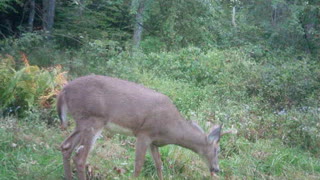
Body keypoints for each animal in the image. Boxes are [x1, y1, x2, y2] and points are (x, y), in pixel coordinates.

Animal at [56, 75, 234, 180]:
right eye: (217, 150)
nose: (217, 169)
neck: (171, 129)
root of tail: (63, 90)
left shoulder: (154, 142)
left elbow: (159, 165)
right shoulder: (144, 133)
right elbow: (138, 166)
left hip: (81, 122)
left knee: (65, 146)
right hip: (93, 120)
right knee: (80, 157)